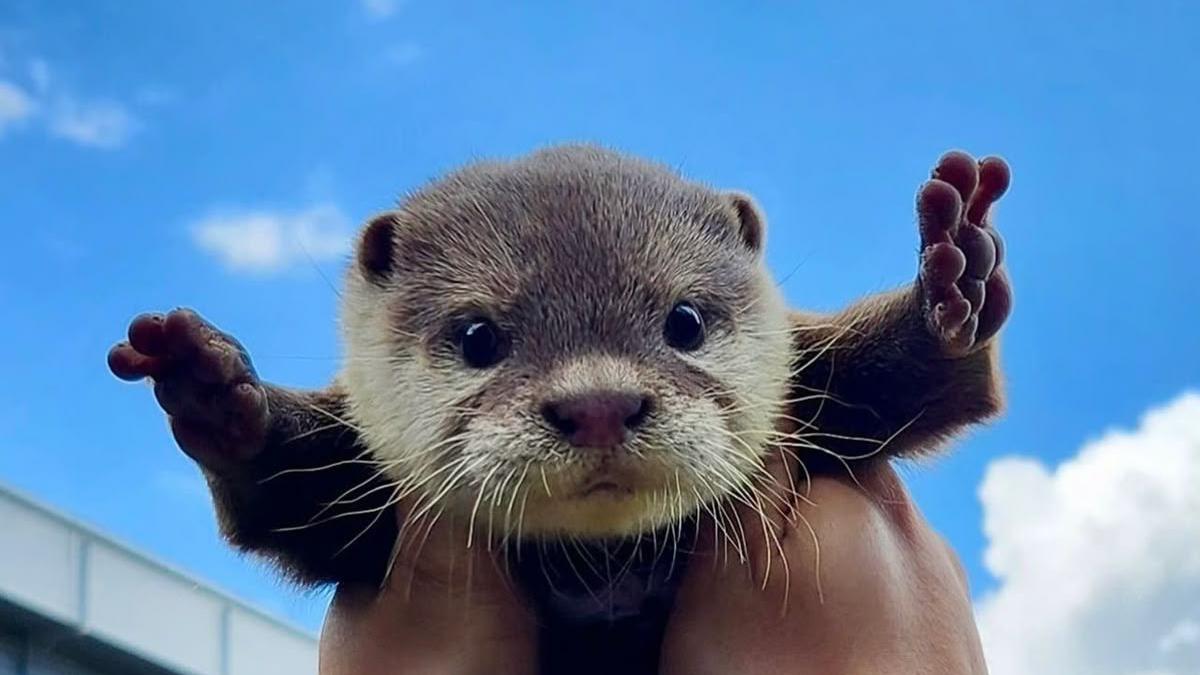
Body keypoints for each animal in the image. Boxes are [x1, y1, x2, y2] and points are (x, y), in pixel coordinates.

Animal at [107, 143, 1012, 674]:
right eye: (478, 336)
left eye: (684, 321)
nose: (600, 404)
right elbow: (286, 501)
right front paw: (215, 388)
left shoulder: (819, 378)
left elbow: (916, 386)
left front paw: (952, 280)